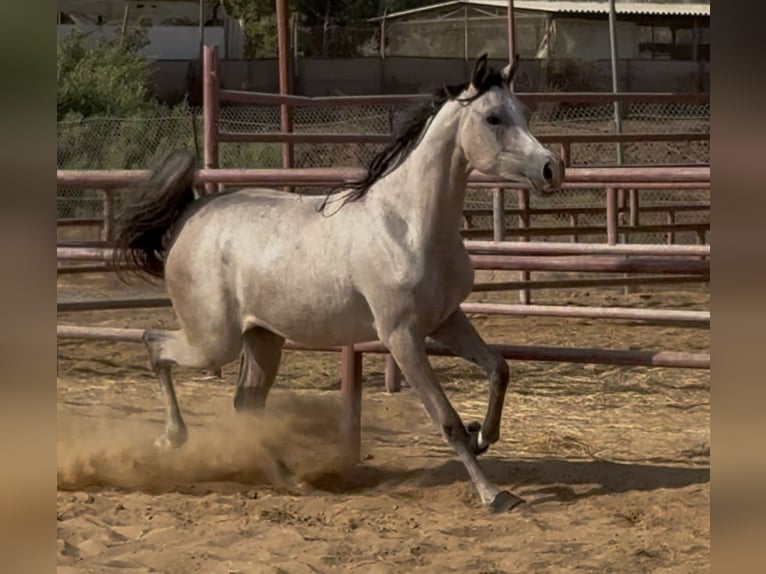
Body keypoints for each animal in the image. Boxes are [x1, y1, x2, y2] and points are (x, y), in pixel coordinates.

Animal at [113, 54, 564, 512]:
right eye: (493, 118)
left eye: (523, 112)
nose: (552, 169)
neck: (408, 227)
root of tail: (190, 215)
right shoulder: (401, 336)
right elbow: (447, 419)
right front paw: (493, 493)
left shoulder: (447, 320)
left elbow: (499, 368)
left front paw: (485, 436)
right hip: (214, 341)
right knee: (154, 344)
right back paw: (172, 439)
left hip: (263, 338)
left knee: (246, 403)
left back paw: (288, 479)